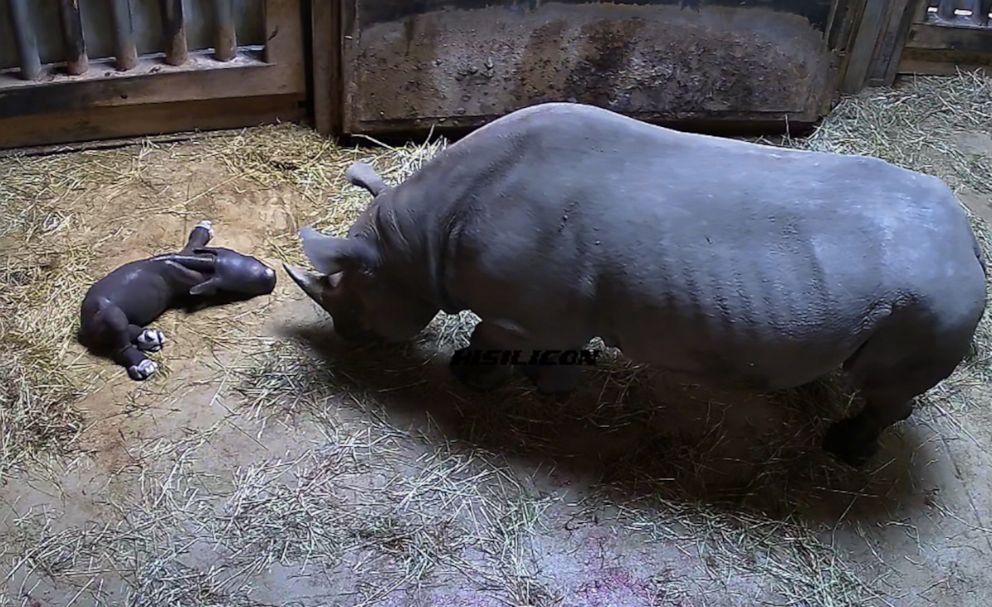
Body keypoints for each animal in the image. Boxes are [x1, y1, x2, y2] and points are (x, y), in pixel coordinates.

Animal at [282, 103, 988, 466]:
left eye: (347, 298)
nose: (349, 338)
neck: (414, 242)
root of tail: (970, 240)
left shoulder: (522, 311)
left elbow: (488, 339)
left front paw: (470, 378)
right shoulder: (552, 312)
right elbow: (554, 350)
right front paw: (550, 386)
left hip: (933, 303)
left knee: (886, 383)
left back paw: (845, 452)